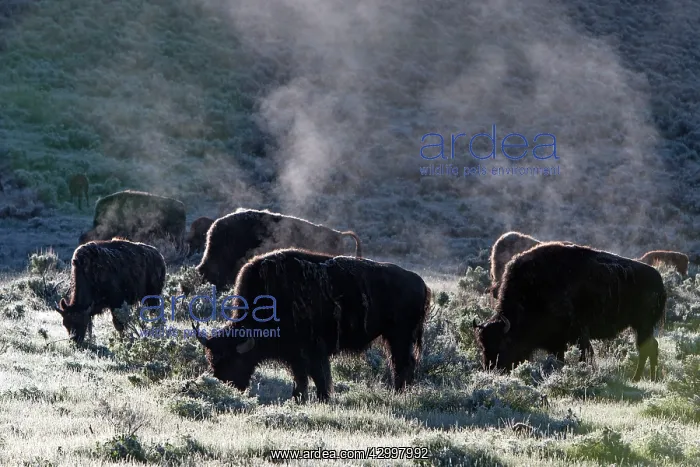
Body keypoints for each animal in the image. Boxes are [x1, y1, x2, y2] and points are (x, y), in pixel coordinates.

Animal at [194, 248, 430, 402]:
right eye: (212, 361)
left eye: (233, 360)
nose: (229, 387)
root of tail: (421, 283)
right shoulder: (295, 354)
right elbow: (301, 377)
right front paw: (298, 397)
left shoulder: (313, 349)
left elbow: (318, 375)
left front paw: (323, 398)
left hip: (400, 337)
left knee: (402, 364)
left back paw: (399, 393)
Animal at [473, 242, 666, 381]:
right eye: (482, 345)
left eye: (504, 343)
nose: (492, 369)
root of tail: (659, 281)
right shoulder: (557, 342)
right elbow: (560, 357)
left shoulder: (578, 334)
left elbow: (585, 354)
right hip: (641, 327)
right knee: (651, 347)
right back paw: (650, 378)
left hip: (643, 326)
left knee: (646, 349)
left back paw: (638, 378)